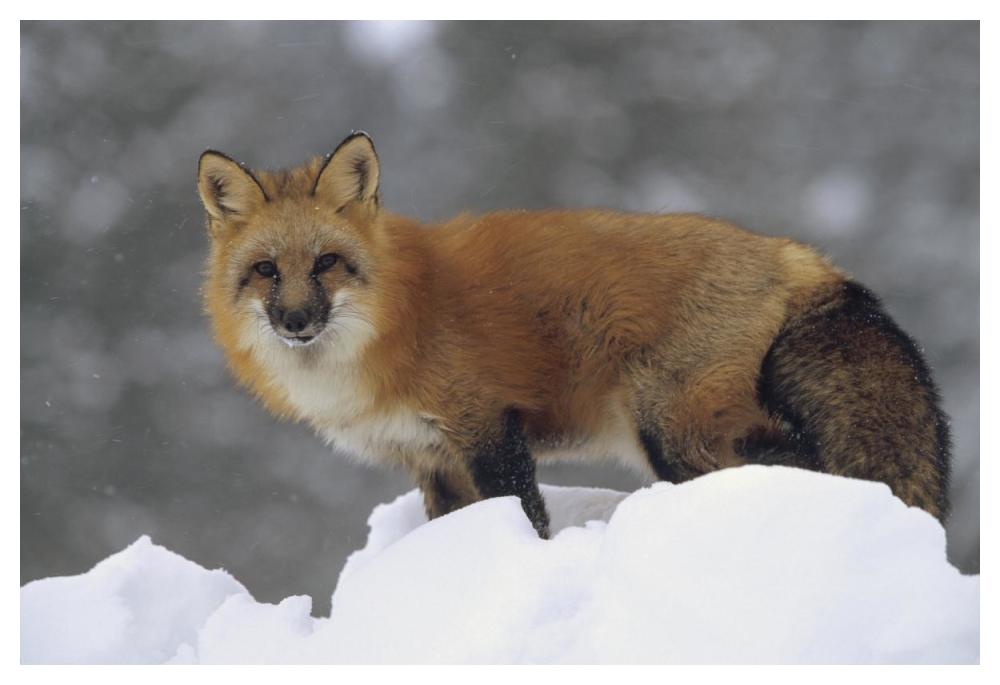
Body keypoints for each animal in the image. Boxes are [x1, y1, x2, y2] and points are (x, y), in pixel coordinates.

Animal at [197, 131, 951, 537]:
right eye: (266, 271)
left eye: (327, 262)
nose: (297, 321)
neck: (394, 322)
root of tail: (795, 255)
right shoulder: (432, 461)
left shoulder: (487, 428)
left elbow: (525, 515)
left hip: (673, 433)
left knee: (799, 464)